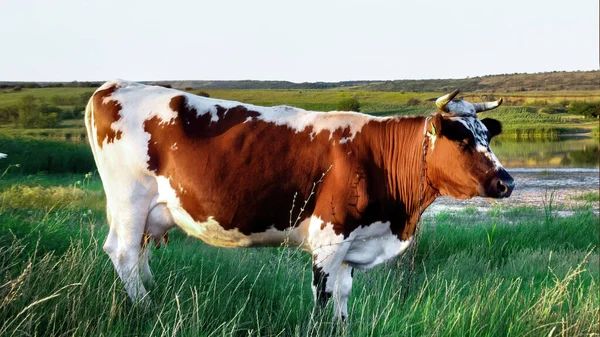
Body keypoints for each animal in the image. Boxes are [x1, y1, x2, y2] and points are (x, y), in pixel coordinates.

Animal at [85, 81, 516, 320]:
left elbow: (342, 303)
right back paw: (149, 309)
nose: (507, 182)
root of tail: (114, 86)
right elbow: (322, 302)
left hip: (149, 214)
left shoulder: (352, 246)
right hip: (129, 200)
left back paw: (154, 297)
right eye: (462, 139)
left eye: (487, 136)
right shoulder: (328, 242)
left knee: (139, 257)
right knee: (123, 254)